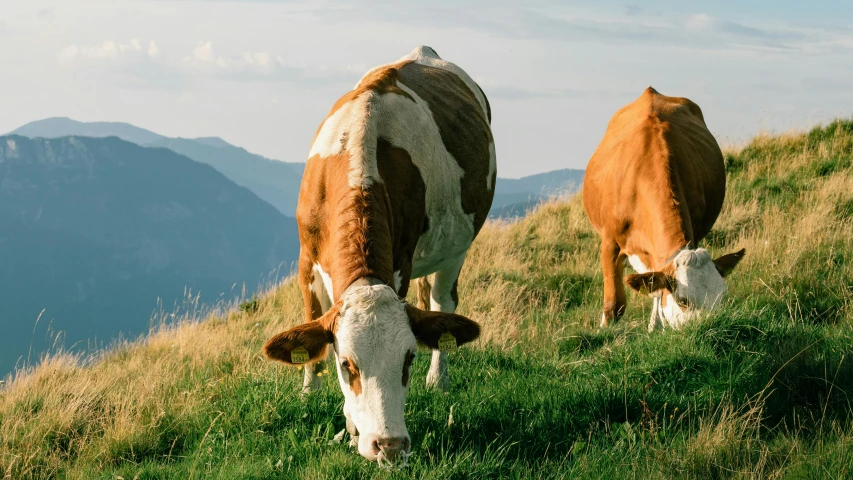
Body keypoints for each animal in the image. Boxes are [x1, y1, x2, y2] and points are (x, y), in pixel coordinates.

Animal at [262, 47, 496, 466]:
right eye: (346, 365)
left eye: (408, 358)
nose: (390, 445)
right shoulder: (306, 260)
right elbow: (311, 328)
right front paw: (309, 395)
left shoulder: (400, 262)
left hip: (457, 248)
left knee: (442, 300)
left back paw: (439, 379)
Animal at [584, 86, 744, 332]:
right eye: (683, 300)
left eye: (723, 298)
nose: (711, 330)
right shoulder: (609, 242)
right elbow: (614, 305)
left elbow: (658, 290)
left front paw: (656, 326)